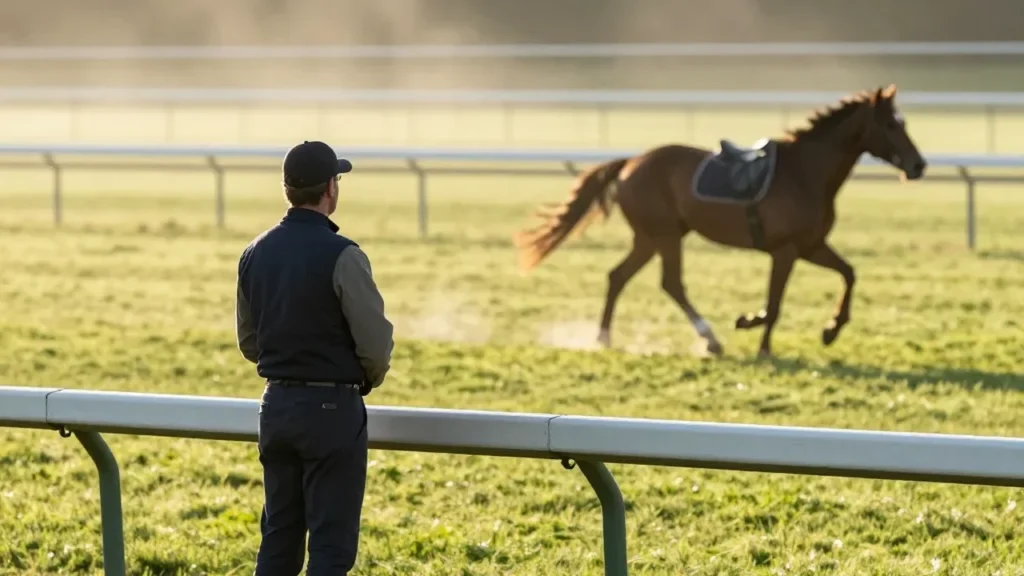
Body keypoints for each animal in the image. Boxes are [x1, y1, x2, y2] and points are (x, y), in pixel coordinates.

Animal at [514, 85, 926, 359]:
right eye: (891, 125)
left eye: (902, 122)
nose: (918, 165)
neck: (805, 173)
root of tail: (631, 163)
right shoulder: (786, 250)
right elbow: (775, 303)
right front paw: (759, 339)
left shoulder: (811, 246)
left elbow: (849, 273)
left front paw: (829, 329)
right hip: (664, 236)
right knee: (671, 283)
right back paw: (709, 339)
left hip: (651, 238)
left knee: (618, 277)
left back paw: (604, 338)